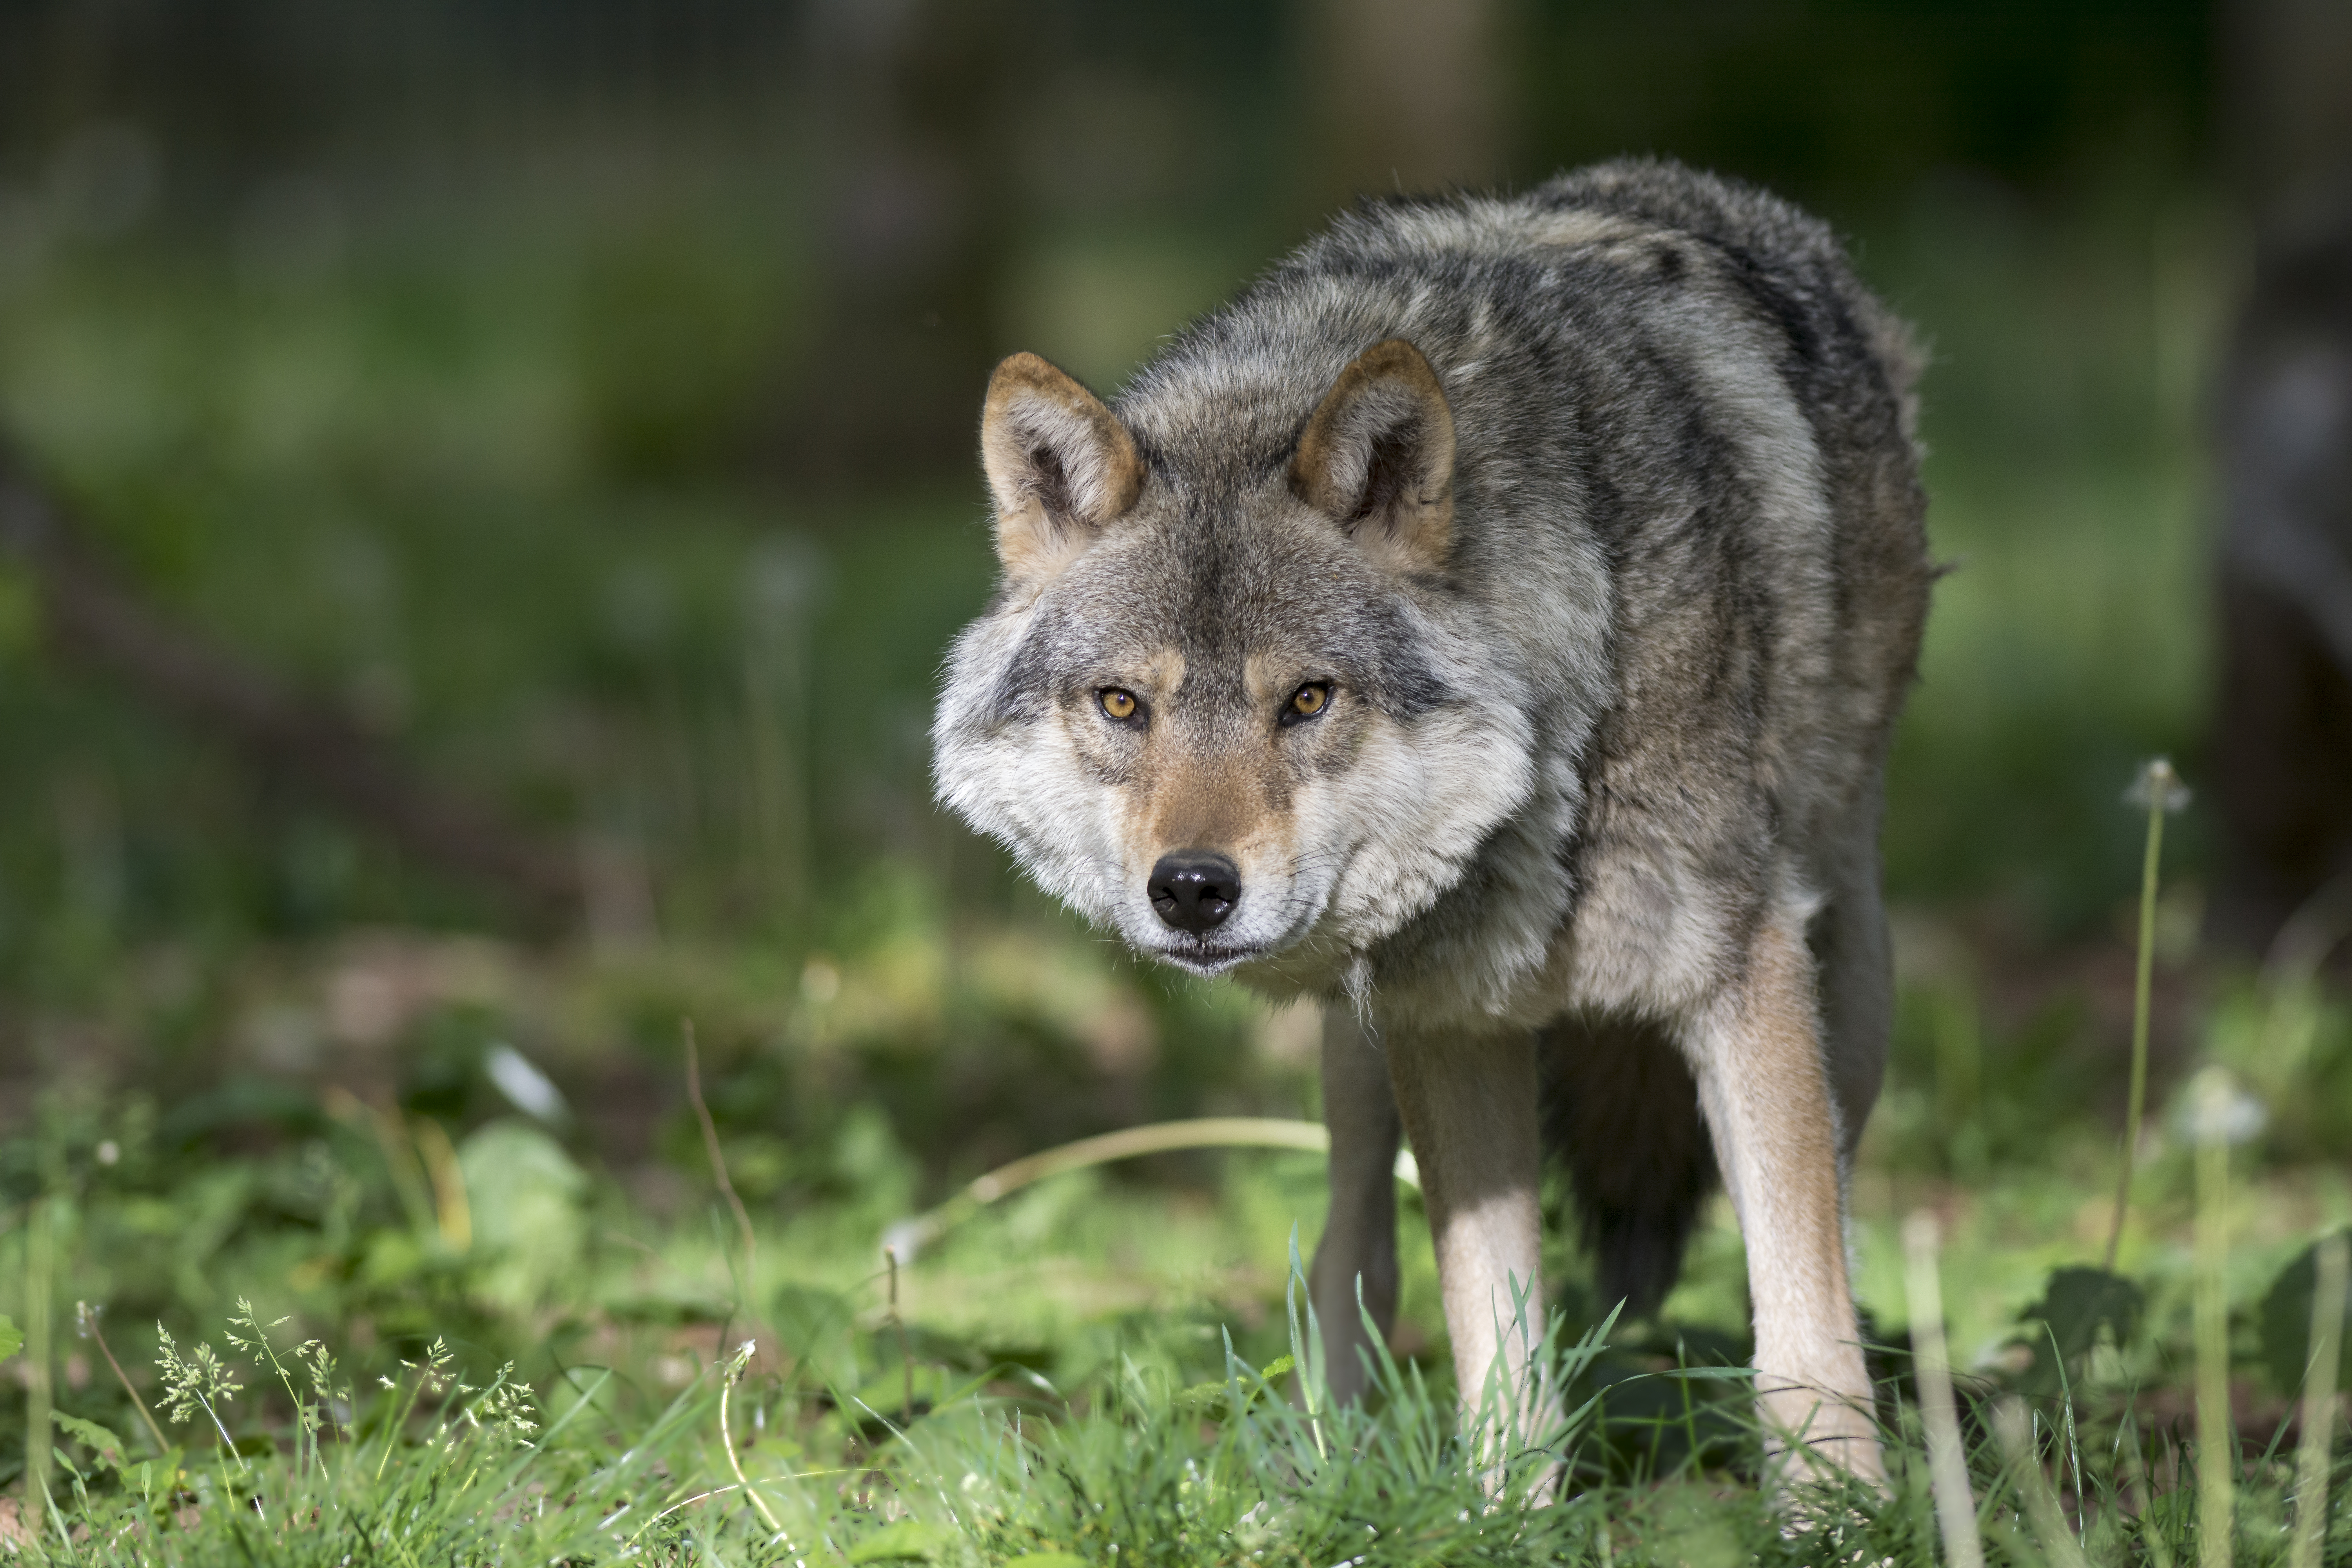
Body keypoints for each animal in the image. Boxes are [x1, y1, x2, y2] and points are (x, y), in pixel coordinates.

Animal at [933, 158, 1931, 1483]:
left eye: (1308, 699)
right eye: (1122, 704)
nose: (1191, 889)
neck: (1556, 758)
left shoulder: (1742, 984)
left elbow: (1802, 1331)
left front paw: (1836, 1512)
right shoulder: (1447, 1025)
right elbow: (1494, 1343)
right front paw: (1509, 1508)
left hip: (1850, 996)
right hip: (1358, 1057)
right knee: (1351, 1250)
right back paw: (1320, 1472)